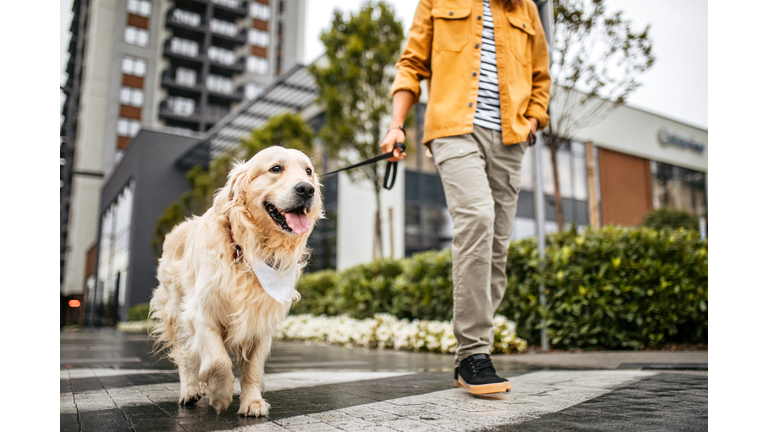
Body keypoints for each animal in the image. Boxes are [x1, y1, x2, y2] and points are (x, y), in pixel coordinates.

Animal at [150, 147, 320, 416]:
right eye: (276, 168)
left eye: (308, 171)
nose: (307, 189)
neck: (249, 250)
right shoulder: (200, 311)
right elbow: (218, 359)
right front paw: (220, 393)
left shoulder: (260, 320)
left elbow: (252, 368)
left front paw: (252, 401)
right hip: (175, 311)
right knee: (184, 354)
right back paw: (189, 390)